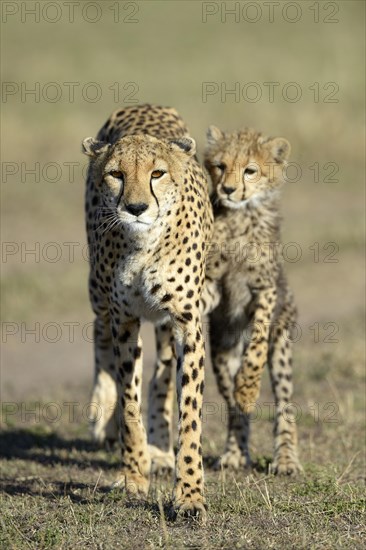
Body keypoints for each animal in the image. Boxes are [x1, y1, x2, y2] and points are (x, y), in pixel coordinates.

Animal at [82, 104, 213, 520]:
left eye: (157, 174)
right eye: (116, 175)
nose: (136, 208)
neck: (144, 243)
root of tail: (143, 104)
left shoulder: (186, 322)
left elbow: (188, 411)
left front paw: (189, 495)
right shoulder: (124, 319)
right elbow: (128, 401)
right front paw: (134, 474)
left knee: (162, 378)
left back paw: (159, 445)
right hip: (97, 293)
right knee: (100, 340)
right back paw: (104, 417)